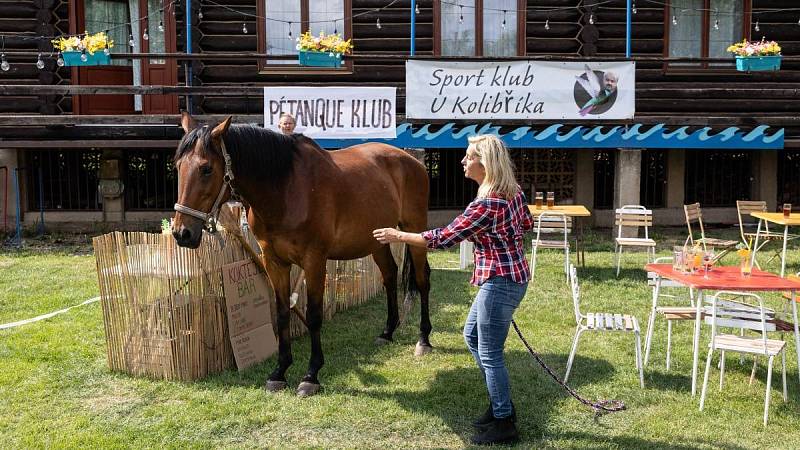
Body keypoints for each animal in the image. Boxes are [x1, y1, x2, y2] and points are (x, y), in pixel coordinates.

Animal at [170, 113, 432, 398]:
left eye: (206, 169)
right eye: (177, 166)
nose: (182, 233)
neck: (286, 189)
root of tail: (411, 160)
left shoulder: (314, 260)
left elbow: (314, 315)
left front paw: (311, 375)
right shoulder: (273, 261)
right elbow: (282, 312)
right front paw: (279, 371)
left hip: (415, 231)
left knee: (422, 280)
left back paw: (423, 339)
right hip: (377, 239)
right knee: (389, 276)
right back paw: (387, 332)